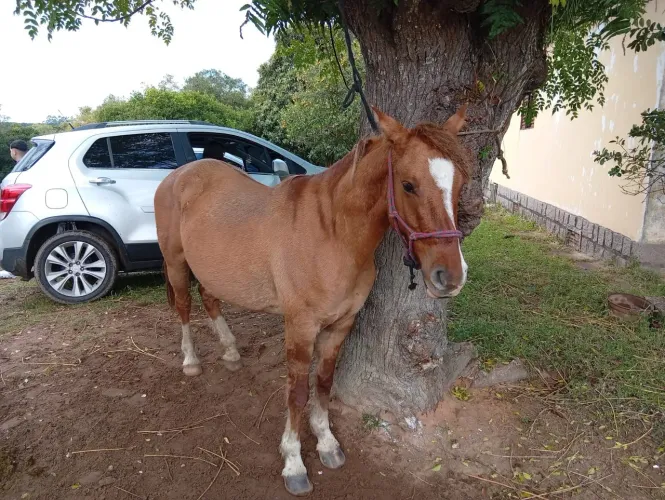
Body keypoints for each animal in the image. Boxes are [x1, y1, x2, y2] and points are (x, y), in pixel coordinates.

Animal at [154, 106, 472, 496]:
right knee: (184, 306)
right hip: (175, 263)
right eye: (409, 185)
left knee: (209, 298)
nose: (451, 276)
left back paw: (230, 351)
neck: (333, 233)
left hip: (213, 271)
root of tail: (178, 175)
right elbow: (297, 393)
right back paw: (191, 361)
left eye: (459, 184)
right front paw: (293, 462)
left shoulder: (341, 325)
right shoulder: (301, 327)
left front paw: (327, 444)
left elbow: (323, 383)